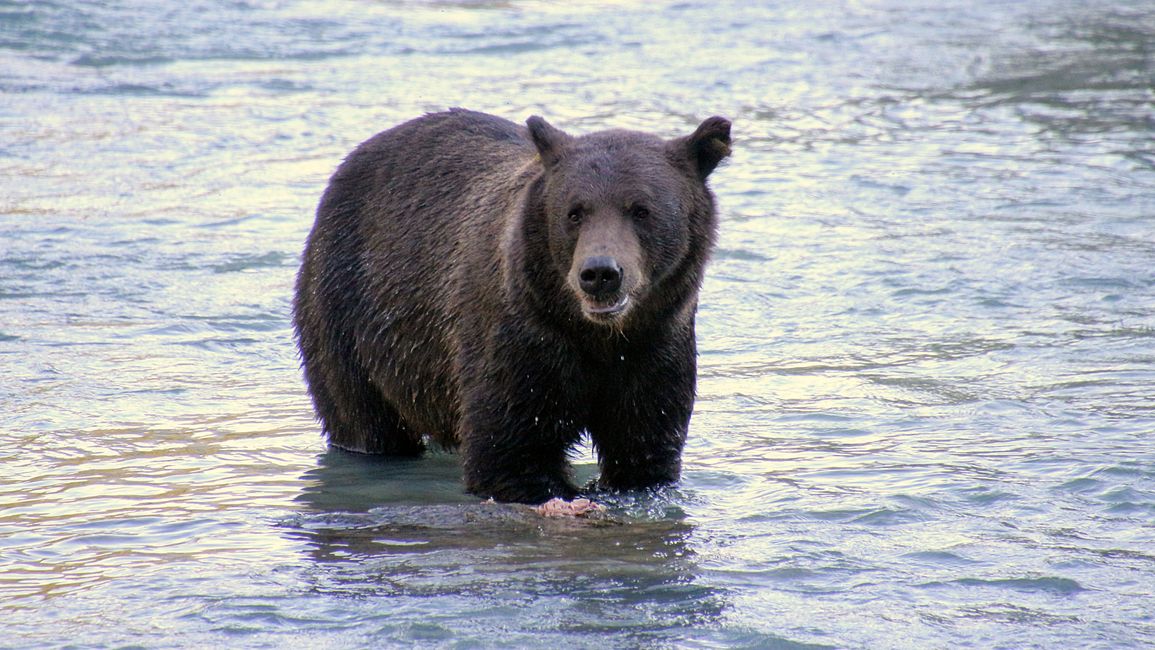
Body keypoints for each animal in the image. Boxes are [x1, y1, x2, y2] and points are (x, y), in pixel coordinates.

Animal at [293, 107, 725, 503]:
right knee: (361, 416)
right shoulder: (521, 337)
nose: (600, 273)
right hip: (348, 312)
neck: (595, 334)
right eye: (574, 212)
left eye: (641, 209)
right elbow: (509, 449)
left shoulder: (654, 344)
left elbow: (644, 445)